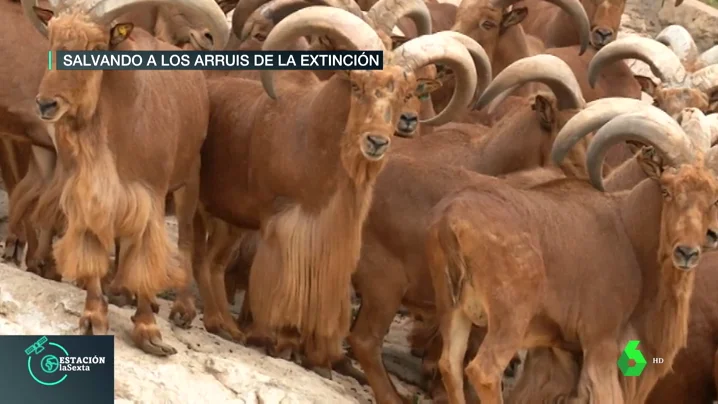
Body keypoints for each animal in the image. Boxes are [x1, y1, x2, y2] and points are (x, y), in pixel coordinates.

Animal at [23, 0, 229, 356]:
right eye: (52, 39)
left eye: (95, 48)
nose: (47, 104)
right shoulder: (88, 193)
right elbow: (95, 249)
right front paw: (94, 316)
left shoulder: (150, 195)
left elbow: (146, 255)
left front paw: (149, 331)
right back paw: (120, 290)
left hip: (189, 180)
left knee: (186, 240)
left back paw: (182, 309)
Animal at [198, 3, 478, 374]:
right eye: (356, 85)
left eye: (405, 93)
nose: (377, 141)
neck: (309, 135)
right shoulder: (281, 223)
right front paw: (276, 340)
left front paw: (314, 353)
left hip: (229, 219)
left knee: (212, 262)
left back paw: (222, 323)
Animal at [428, 102, 718, 402]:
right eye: (666, 190)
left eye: (713, 198)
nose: (687, 252)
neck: (628, 231)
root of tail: (450, 222)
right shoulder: (600, 342)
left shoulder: (561, 349)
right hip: (509, 321)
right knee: (483, 372)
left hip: (452, 310)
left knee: (449, 365)